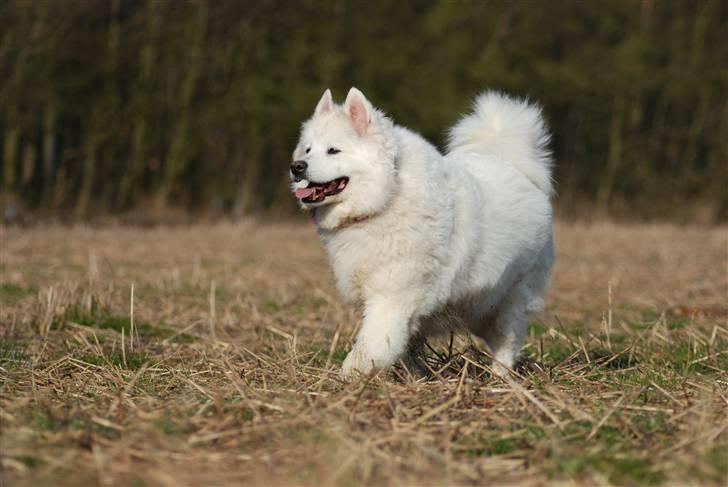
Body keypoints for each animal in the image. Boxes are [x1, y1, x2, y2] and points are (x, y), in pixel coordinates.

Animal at [290, 87, 552, 380]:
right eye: (308, 149)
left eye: (333, 150)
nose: (297, 166)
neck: (386, 197)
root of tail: (512, 166)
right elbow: (401, 345)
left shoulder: (392, 296)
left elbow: (370, 345)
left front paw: (349, 376)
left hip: (507, 300)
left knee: (508, 341)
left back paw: (500, 377)